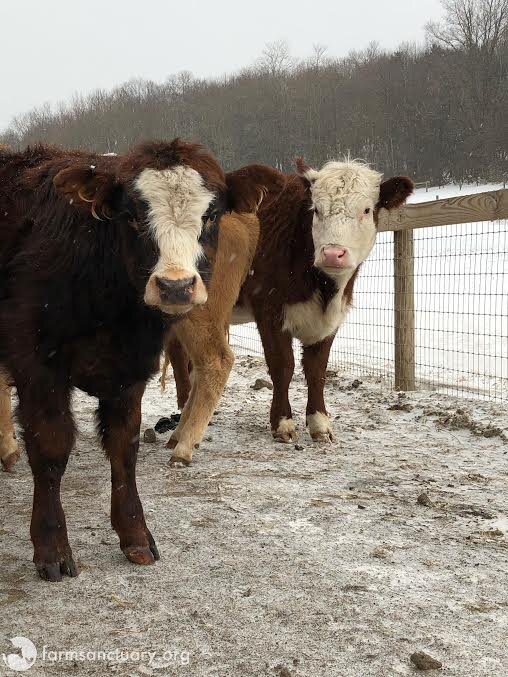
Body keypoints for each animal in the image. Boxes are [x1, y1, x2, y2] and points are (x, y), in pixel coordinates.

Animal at [0, 139, 231, 580]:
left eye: (210, 214)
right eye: (133, 215)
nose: (175, 286)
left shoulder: (131, 371)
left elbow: (124, 449)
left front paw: (135, 535)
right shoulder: (37, 366)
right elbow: (51, 447)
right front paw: (52, 546)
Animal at [165, 159, 413, 448]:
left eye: (366, 209)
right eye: (316, 210)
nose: (333, 253)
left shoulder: (330, 320)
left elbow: (317, 370)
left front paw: (320, 424)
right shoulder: (270, 312)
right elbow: (283, 366)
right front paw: (283, 423)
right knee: (178, 354)